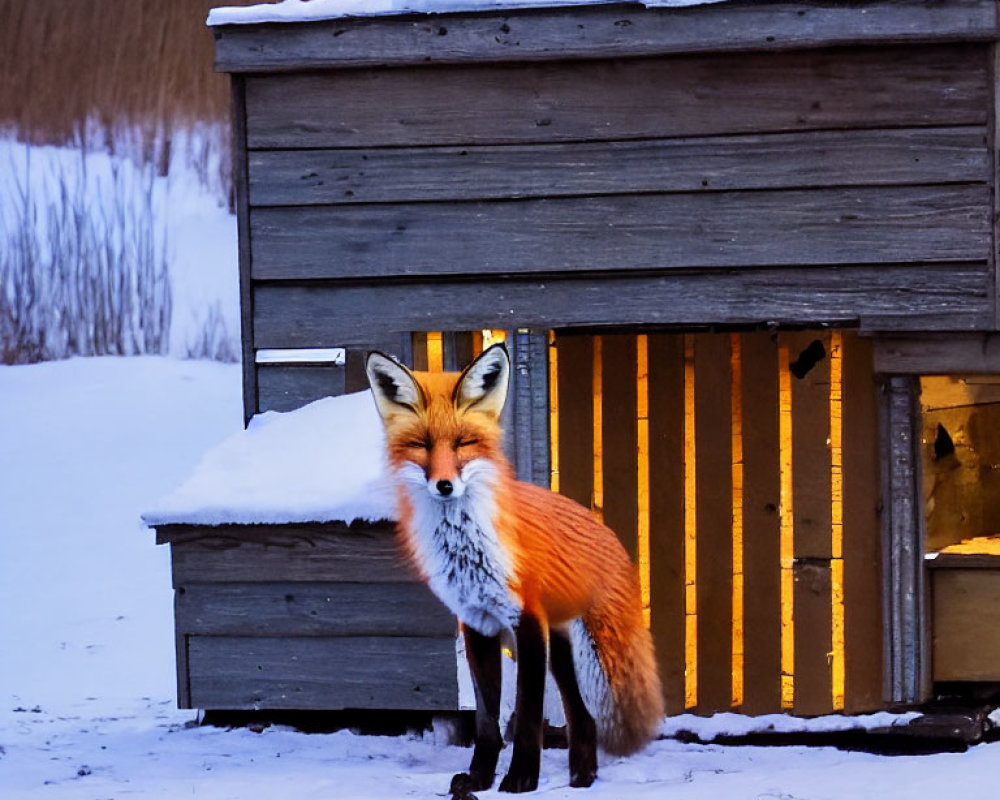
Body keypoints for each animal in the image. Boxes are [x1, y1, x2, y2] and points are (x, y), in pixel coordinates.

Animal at [368, 344, 664, 792]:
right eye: (421, 445)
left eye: (464, 443)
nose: (444, 486)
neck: (468, 552)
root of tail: (599, 520)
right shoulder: (477, 623)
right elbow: (487, 721)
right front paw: (479, 777)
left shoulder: (525, 621)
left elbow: (526, 713)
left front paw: (522, 777)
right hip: (561, 647)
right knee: (582, 716)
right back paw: (582, 772)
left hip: (587, 646)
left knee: (584, 711)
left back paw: (583, 774)